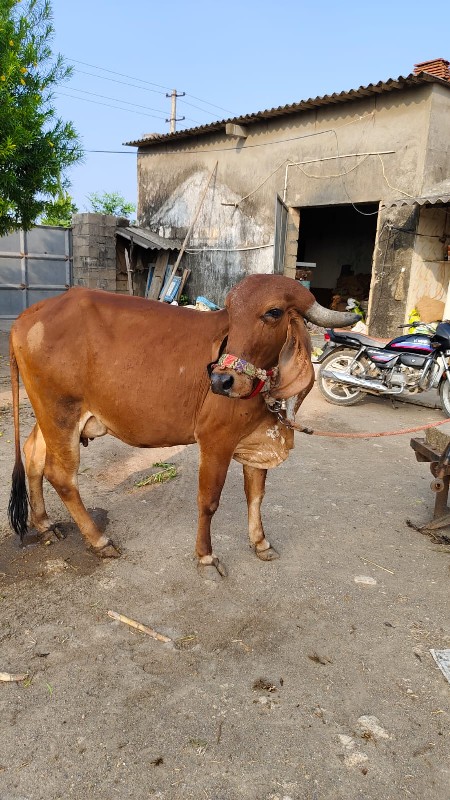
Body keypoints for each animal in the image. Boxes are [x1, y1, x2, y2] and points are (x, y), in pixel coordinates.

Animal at [7, 274, 358, 576]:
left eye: (273, 312)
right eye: (232, 315)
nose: (220, 380)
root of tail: (26, 317)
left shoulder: (257, 443)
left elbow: (256, 496)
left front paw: (260, 543)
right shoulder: (216, 440)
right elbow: (209, 501)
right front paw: (206, 555)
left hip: (50, 417)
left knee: (34, 455)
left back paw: (45, 523)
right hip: (61, 414)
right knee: (61, 476)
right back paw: (99, 540)